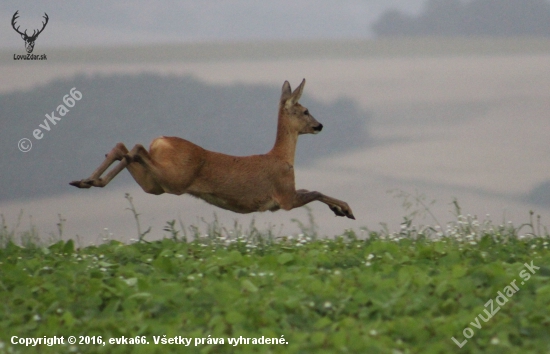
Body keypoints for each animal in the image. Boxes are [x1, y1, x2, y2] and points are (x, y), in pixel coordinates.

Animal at [69, 79, 356, 220]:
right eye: (306, 110)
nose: (320, 125)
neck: (283, 158)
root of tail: (159, 141)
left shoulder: (286, 195)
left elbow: (311, 189)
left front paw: (343, 209)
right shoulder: (284, 197)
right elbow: (315, 191)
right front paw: (345, 210)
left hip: (155, 185)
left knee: (123, 148)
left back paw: (86, 181)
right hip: (174, 179)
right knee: (135, 149)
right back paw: (90, 180)